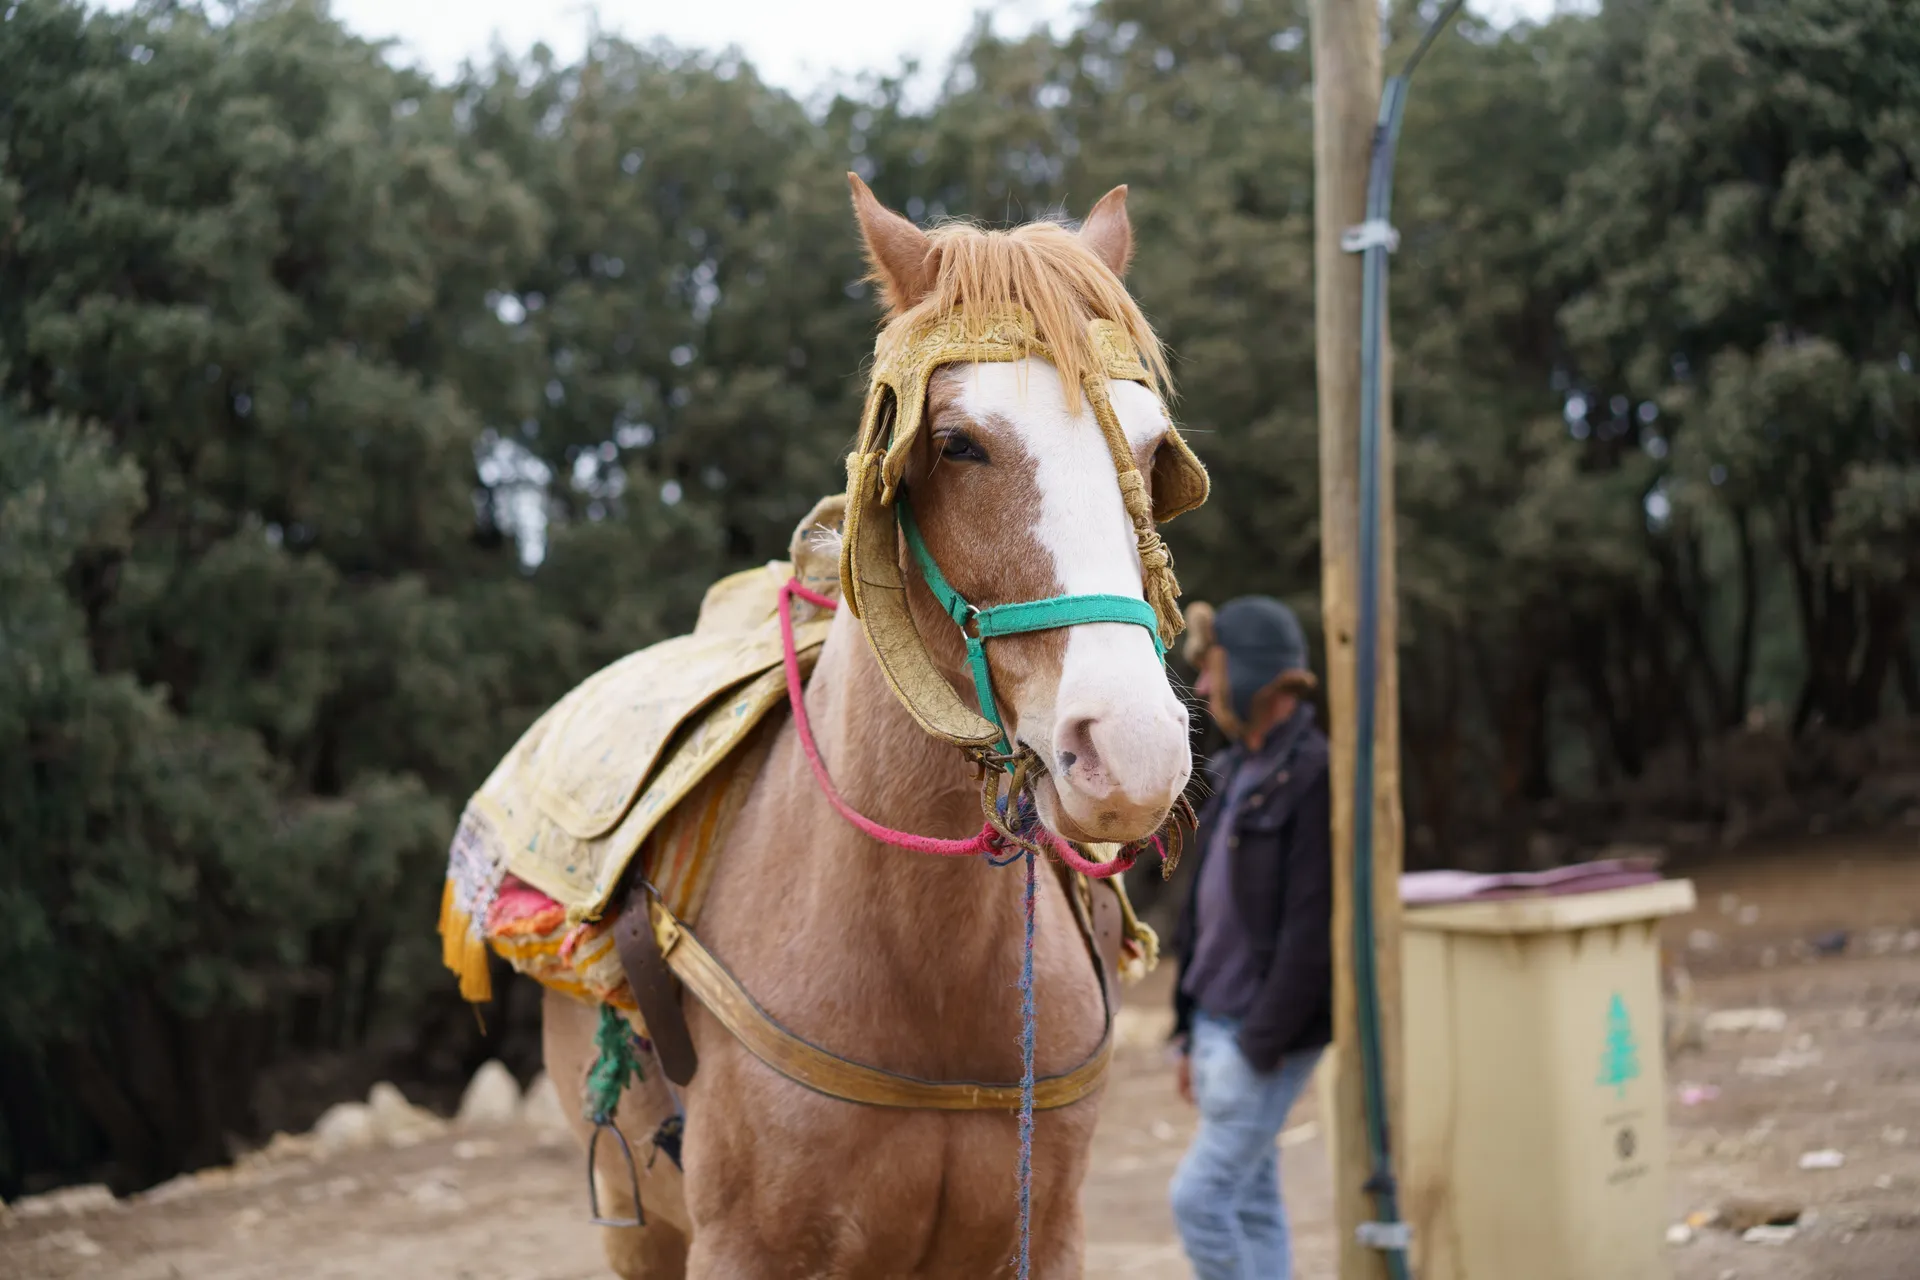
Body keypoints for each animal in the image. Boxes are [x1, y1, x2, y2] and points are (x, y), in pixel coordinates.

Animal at [542, 174, 1207, 1279]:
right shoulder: (739, 1247)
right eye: (957, 443)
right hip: (632, 1217)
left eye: (1153, 448)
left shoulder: (1046, 1231)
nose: (1132, 750)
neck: (923, 967)